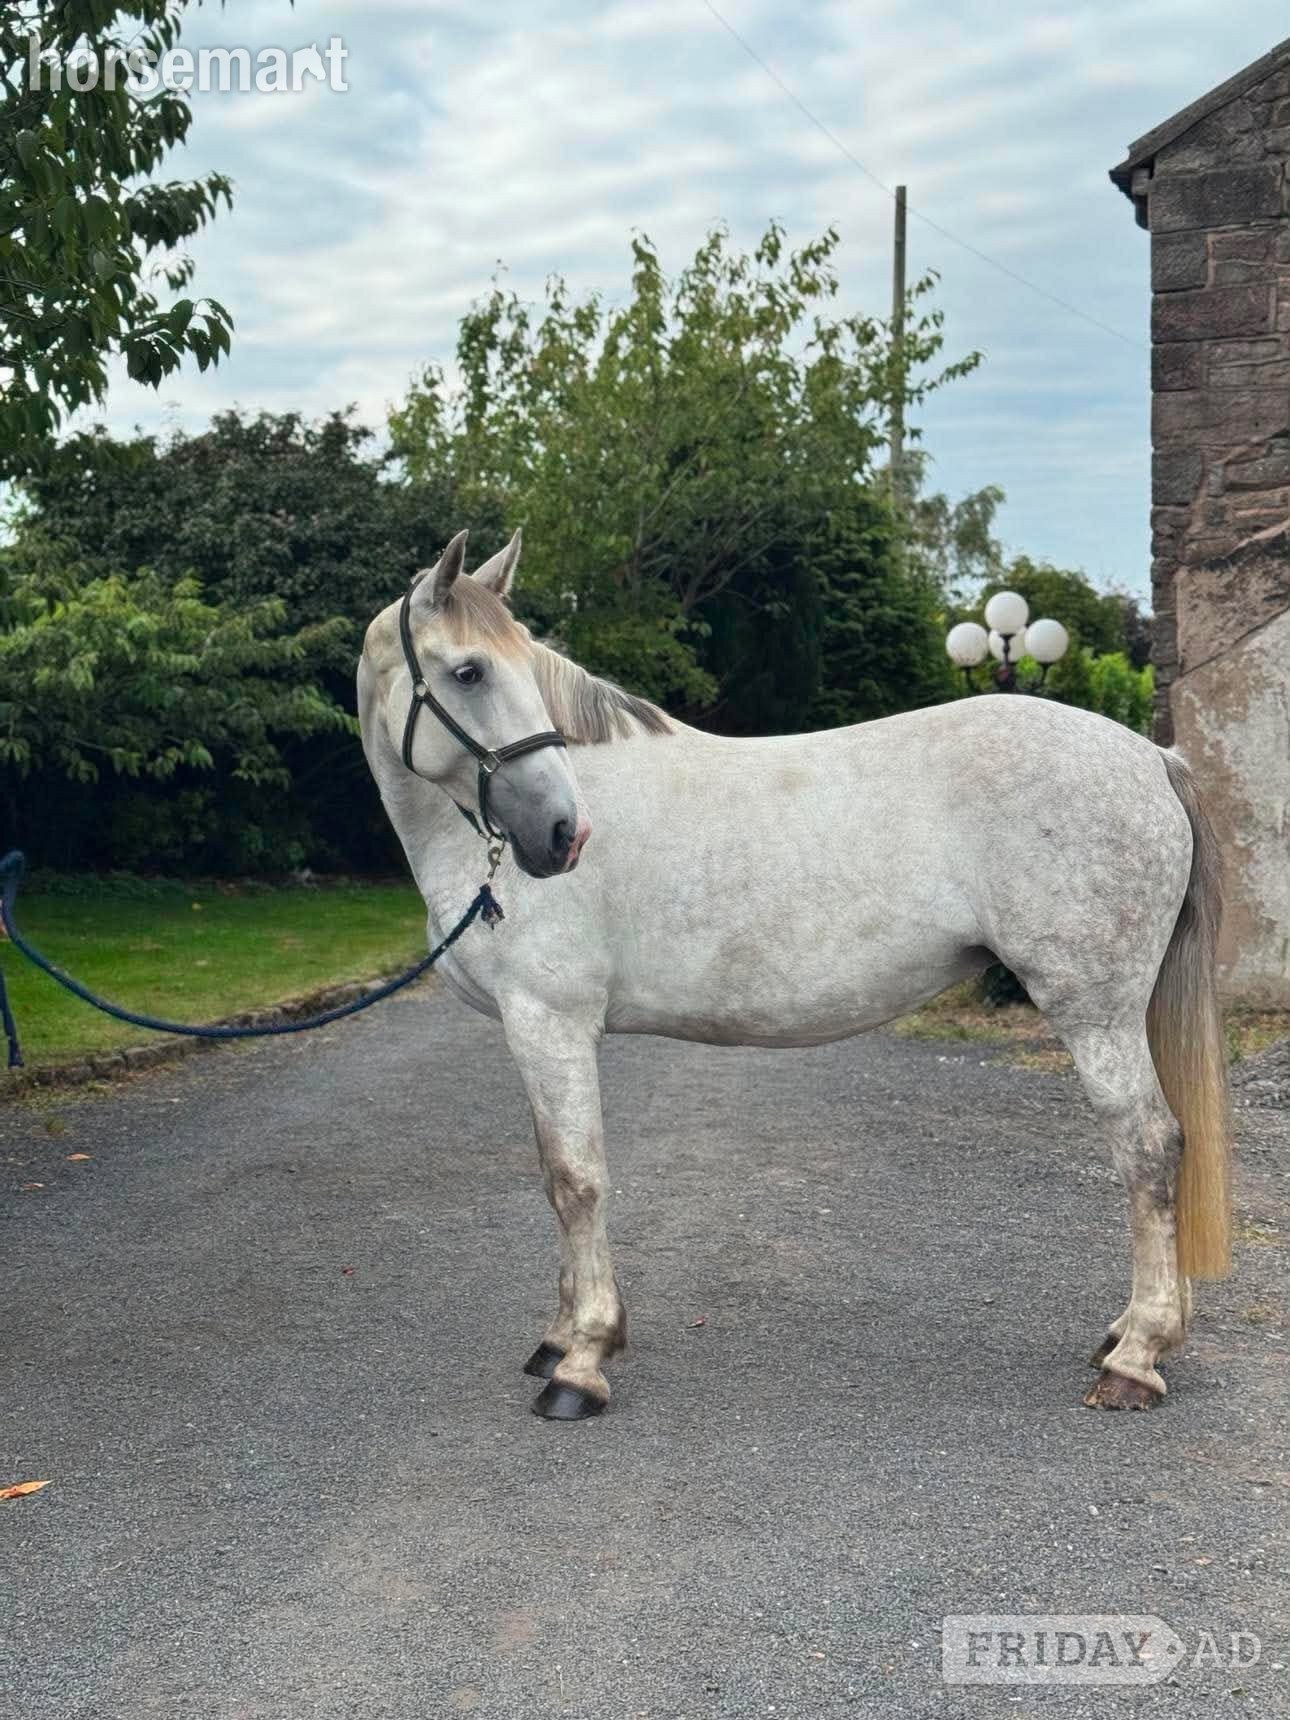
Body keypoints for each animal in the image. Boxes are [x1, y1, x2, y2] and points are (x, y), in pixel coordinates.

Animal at [358, 529, 1232, 1421]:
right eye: (470, 672)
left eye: (496, 670)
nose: (563, 833)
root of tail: (1153, 758)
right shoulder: (536, 1029)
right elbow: (553, 1175)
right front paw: (559, 1339)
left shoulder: (549, 1021)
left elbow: (576, 1181)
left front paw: (583, 1360)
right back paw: (1130, 1333)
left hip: (1096, 1013)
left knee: (1150, 1147)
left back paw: (1136, 1358)